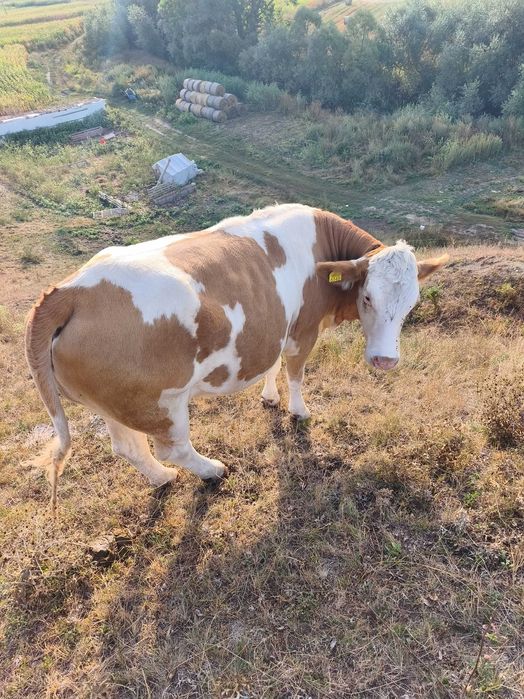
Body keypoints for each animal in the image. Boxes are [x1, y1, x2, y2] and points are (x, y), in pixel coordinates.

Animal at [25, 204, 447, 511]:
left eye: (412, 302)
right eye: (367, 297)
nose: (385, 361)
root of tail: (68, 291)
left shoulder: (275, 324)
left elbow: (272, 364)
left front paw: (270, 397)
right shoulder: (302, 332)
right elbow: (296, 373)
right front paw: (298, 410)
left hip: (112, 402)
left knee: (129, 447)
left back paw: (162, 478)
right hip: (161, 401)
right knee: (173, 447)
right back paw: (212, 469)